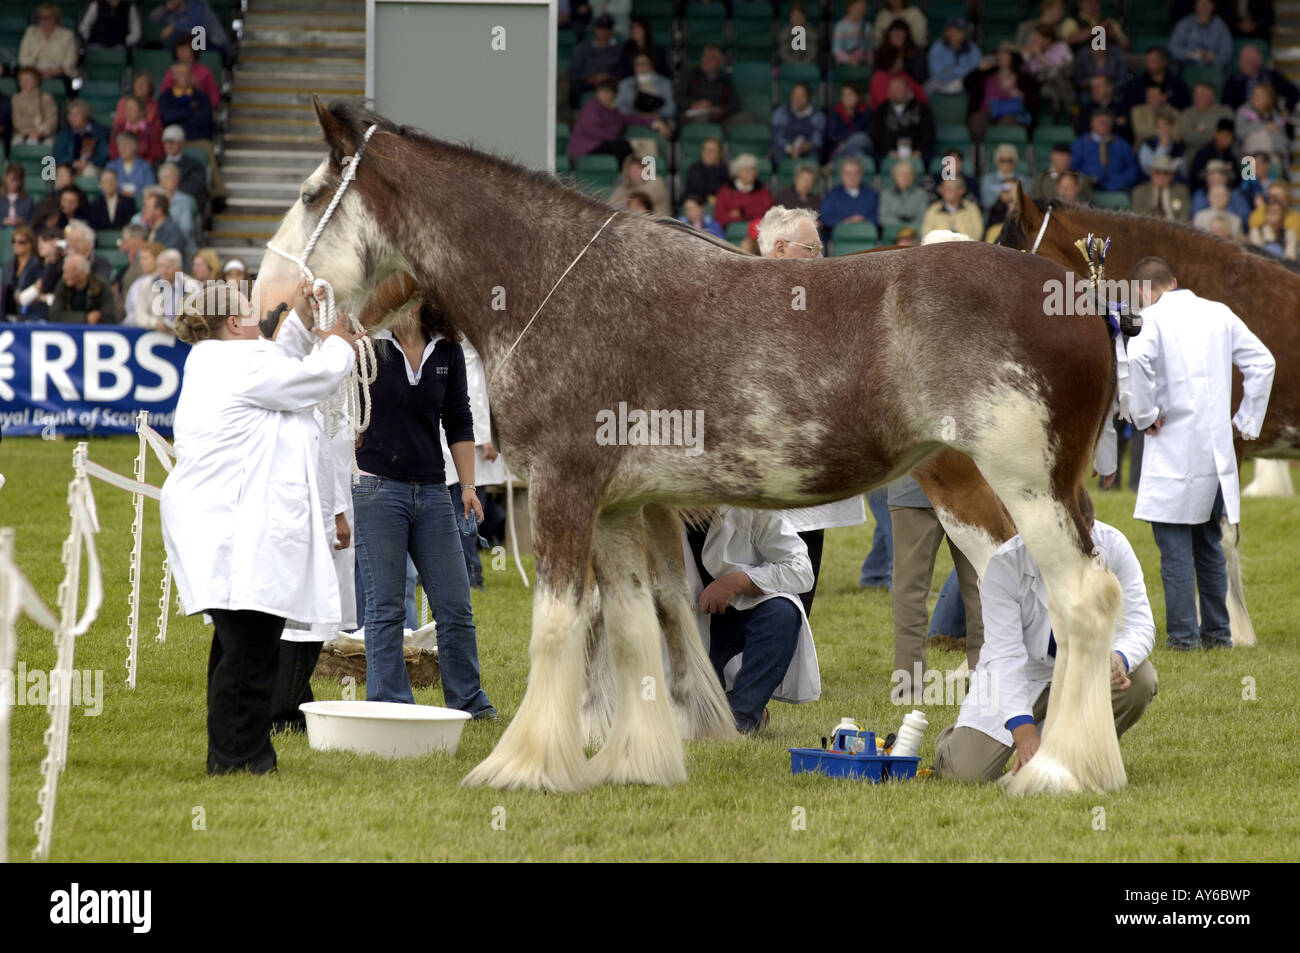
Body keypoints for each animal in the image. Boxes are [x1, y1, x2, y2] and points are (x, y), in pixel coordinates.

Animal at [255, 97, 1126, 796]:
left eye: (309, 196)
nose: (266, 308)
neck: (554, 285)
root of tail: (1077, 296)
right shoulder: (618, 509)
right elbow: (634, 629)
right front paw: (630, 761)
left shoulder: (564, 492)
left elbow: (558, 627)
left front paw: (523, 765)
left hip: (1027, 490)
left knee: (1083, 602)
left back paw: (1059, 770)